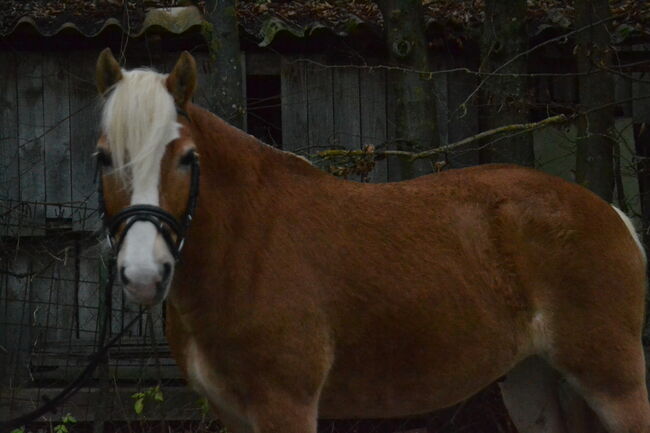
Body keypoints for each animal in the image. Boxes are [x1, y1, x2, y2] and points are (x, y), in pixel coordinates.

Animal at [93, 48, 644, 432]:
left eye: (187, 158)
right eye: (103, 157)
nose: (144, 274)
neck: (247, 248)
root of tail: (610, 214)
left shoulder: (285, 406)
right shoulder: (232, 413)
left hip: (614, 381)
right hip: (535, 381)